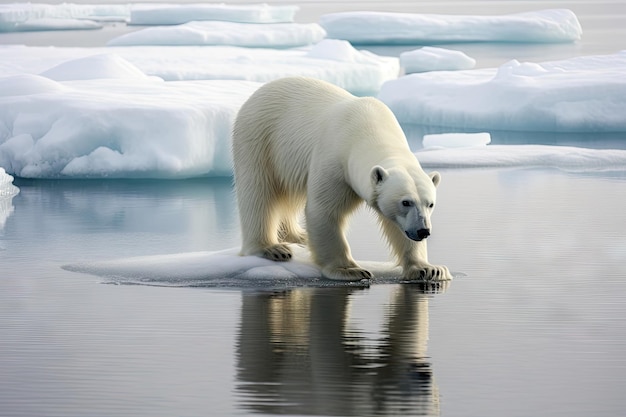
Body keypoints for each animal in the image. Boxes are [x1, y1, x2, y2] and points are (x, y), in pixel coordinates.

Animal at [232, 77, 446, 282]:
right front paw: (350, 270)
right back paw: (272, 248)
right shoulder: (335, 161)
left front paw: (429, 269)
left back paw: (298, 236)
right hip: (259, 139)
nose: (423, 231)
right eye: (406, 202)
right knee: (258, 192)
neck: (371, 130)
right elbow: (325, 211)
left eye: (430, 204)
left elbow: (398, 227)